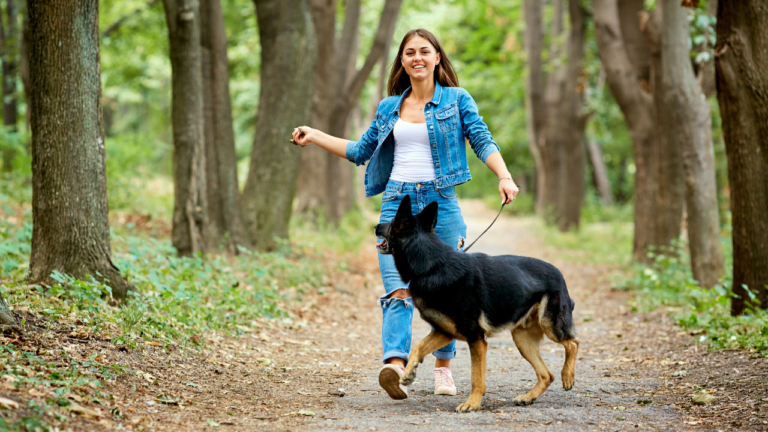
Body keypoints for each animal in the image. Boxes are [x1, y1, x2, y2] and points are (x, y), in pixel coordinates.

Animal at [376, 195, 580, 412]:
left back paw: (567, 376)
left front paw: (472, 403)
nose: (375, 226)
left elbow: (476, 377)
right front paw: (408, 373)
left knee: (573, 343)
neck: (432, 266)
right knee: (546, 374)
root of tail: (559, 273)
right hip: (522, 338)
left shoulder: (476, 338)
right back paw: (528, 397)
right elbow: (417, 347)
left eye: (391, 222)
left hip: (550, 326)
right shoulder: (444, 332)